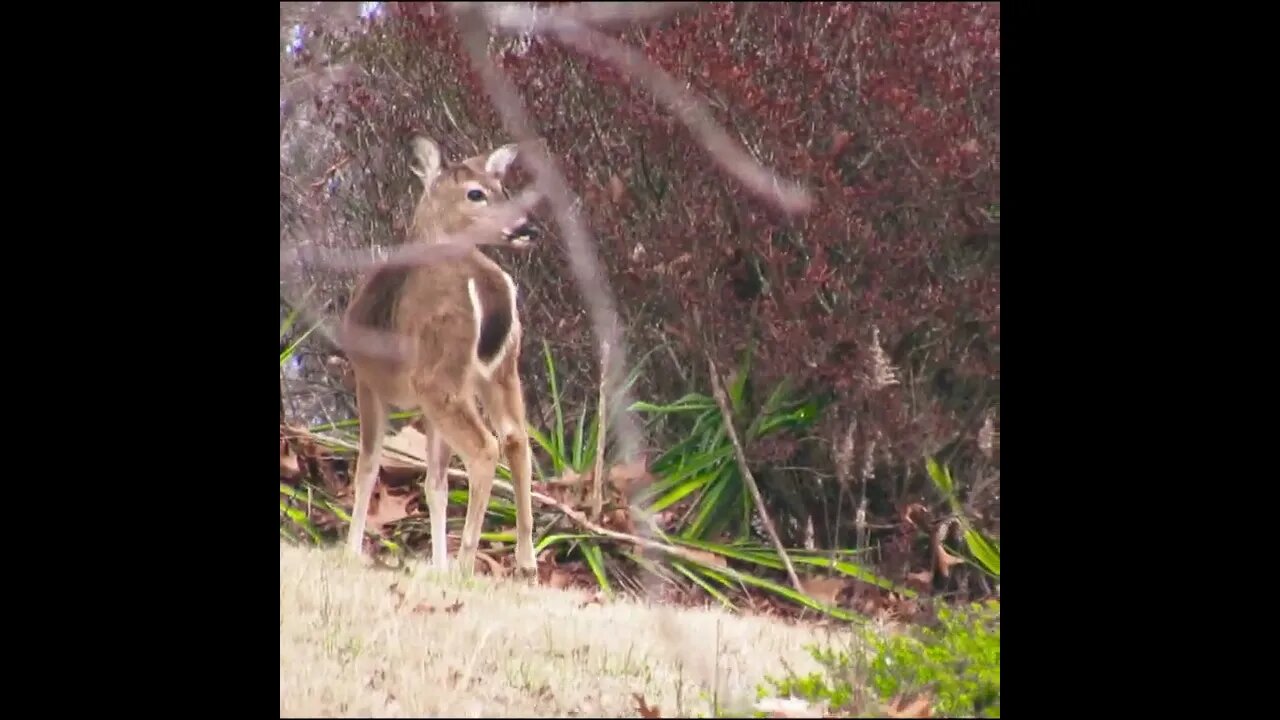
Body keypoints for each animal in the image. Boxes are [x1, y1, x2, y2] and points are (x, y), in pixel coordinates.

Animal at [340, 135, 540, 579]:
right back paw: (525, 561)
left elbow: (368, 467)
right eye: (479, 192)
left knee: (485, 447)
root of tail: (486, 284)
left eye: (501, 189)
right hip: (500, 370)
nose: (525, 227)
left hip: (438, 374)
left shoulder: (368, 378)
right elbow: (436, 485)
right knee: (516, 438)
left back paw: (467, 562)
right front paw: (436, 561)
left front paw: (351, 550)